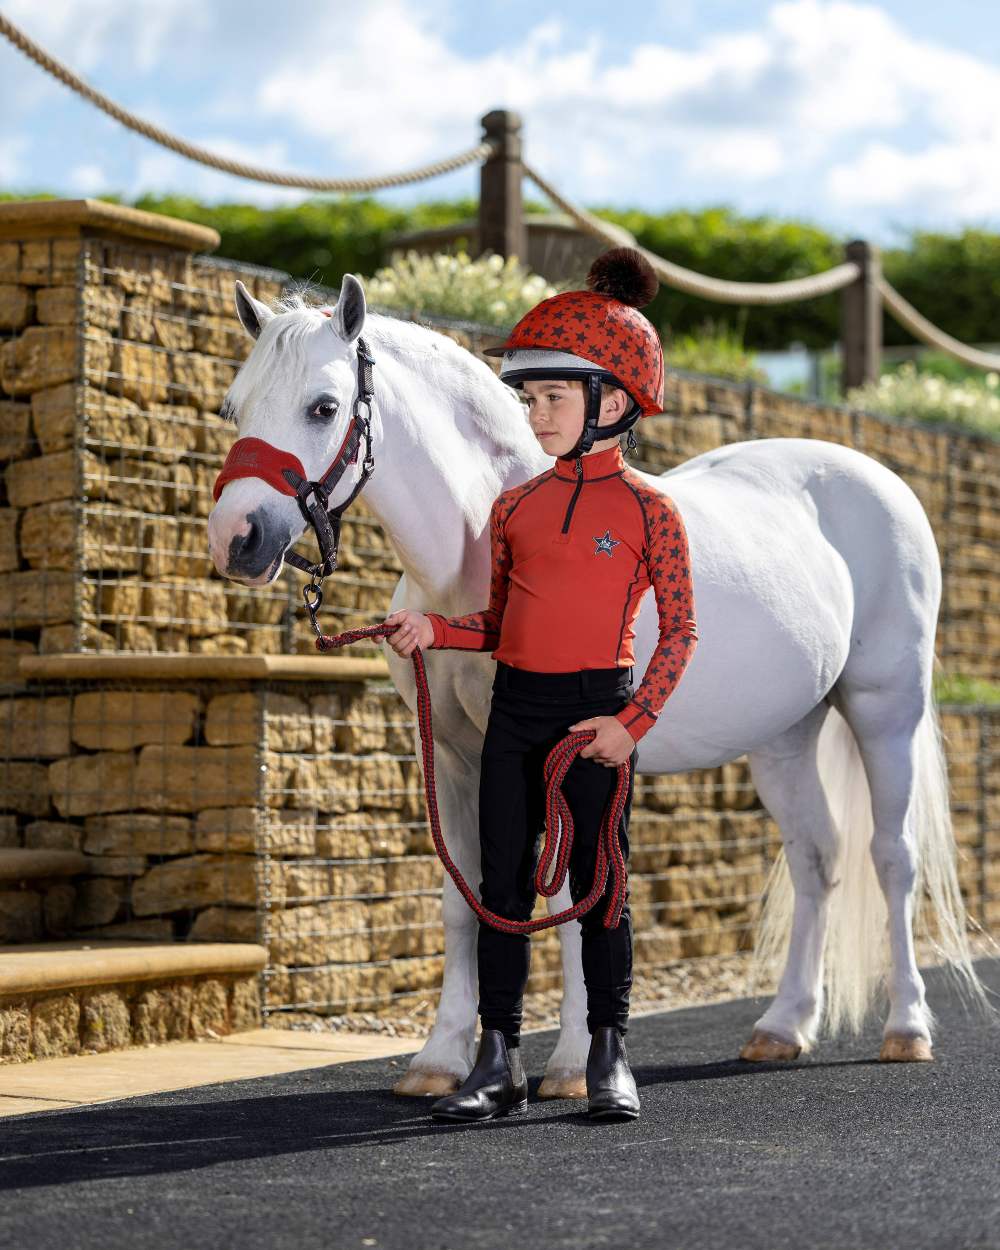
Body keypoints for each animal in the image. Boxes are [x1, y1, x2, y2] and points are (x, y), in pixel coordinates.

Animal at [208, 273, 990, 1095]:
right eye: (235, 405)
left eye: (323, 407)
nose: (236, 539)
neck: (477, 554)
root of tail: (876, 477)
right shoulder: (452, 757)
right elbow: (465, 899)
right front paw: (440, 1060)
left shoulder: (563, 756)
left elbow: (568, 898)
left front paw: (573, 1067)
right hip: (785, 735)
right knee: (817, 858)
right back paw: (782, 1027)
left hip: (886, 708)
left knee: (893, 856)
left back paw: (906, 1028)